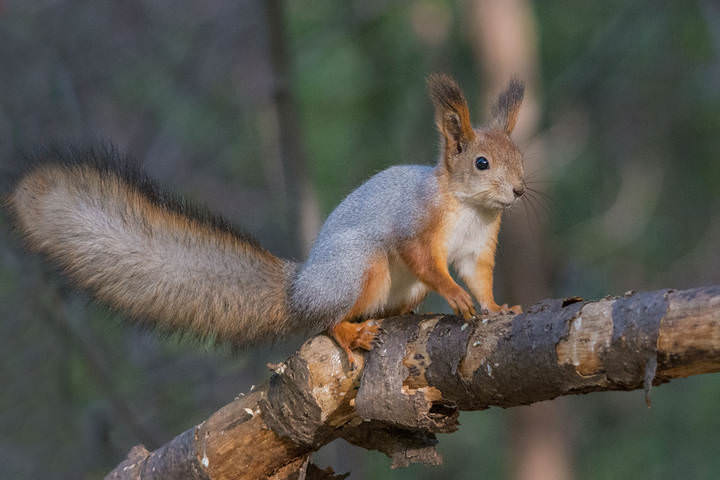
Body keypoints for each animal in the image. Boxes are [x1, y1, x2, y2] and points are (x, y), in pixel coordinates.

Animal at [6, 73, 526, 367]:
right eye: (481, 163)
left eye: (518, 157)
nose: (520, 191)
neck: (468, 207)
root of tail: (299, 290)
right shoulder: (417, 223)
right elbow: (427, 261)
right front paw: (455, 296)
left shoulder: (480, 245)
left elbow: (480, 277)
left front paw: (497, 307)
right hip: (359, 267)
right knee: (327, 321)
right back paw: (349, 330)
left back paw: (402, 315)